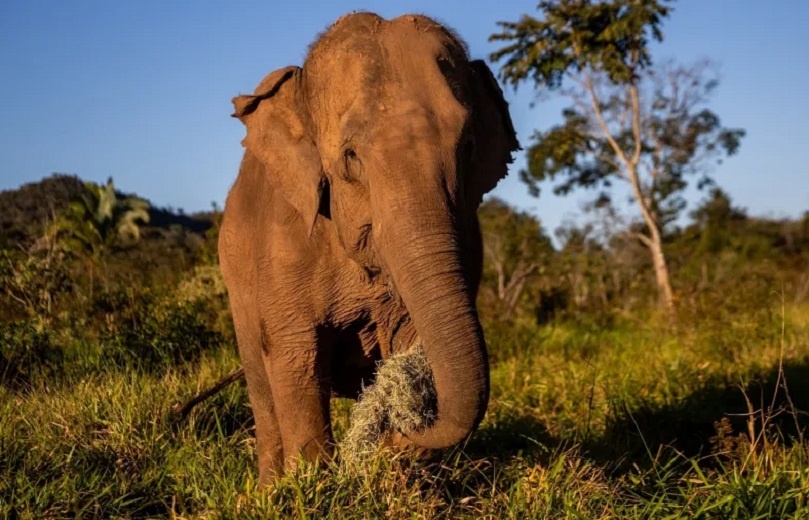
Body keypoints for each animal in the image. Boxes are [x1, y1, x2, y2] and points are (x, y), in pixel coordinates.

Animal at [218, 12, 519, 483]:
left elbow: (410, 339)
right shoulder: (285, 239)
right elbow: (295, 355)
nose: (401, 430)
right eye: (351, 156)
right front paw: (310, 484)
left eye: (467, 146)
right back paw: (267, 488)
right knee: (261, 384)